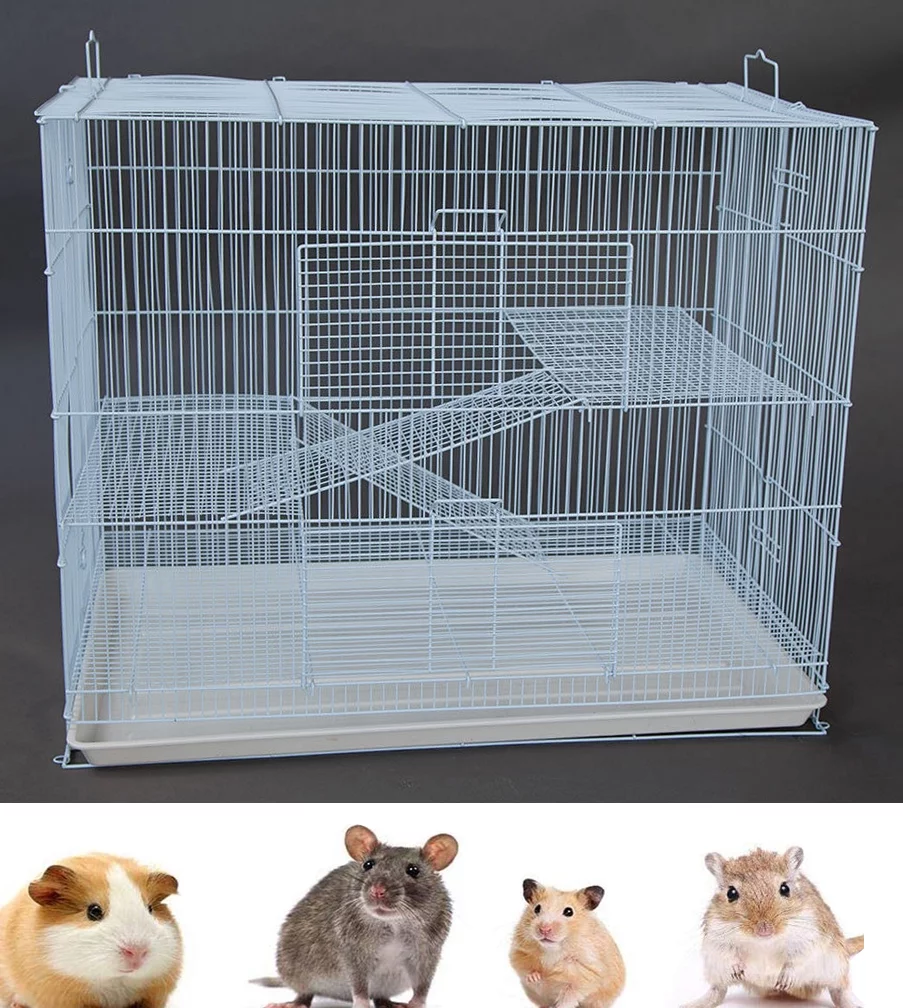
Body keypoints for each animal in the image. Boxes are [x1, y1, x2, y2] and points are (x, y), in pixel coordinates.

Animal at [251, 824, 458, 1008]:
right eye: (368, 864)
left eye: (413, 870)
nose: (377, 891)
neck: (394, 924)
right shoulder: (353, 948)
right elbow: (358, 981)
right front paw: (361, 1003)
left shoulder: (428, 950)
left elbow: (423, 982)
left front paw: (417, 1003)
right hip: (295, 970)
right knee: (305, 992)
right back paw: (295, 1003)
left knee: (380, 996)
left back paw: (388, 1003)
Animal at [510, 879, 625, 1008]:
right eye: (537, 908)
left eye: (569, 912)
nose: (544, 929)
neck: (552, 950)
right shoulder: (519, 954)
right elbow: (531, 975)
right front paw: (535, 977)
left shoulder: (585, 975)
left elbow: (568, 996)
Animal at [681, 846, 864, 1008]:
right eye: (731, 893)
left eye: (785, 888)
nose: (764, 929)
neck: (764, 942)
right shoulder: (716, 937)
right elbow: (727, 954)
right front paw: (736, 970)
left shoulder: (811, 938)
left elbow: (797, 960)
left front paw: (784, 979)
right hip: (715, 971)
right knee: (717, 990)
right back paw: (692, 1004)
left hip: (836, 966)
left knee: (840, 990)